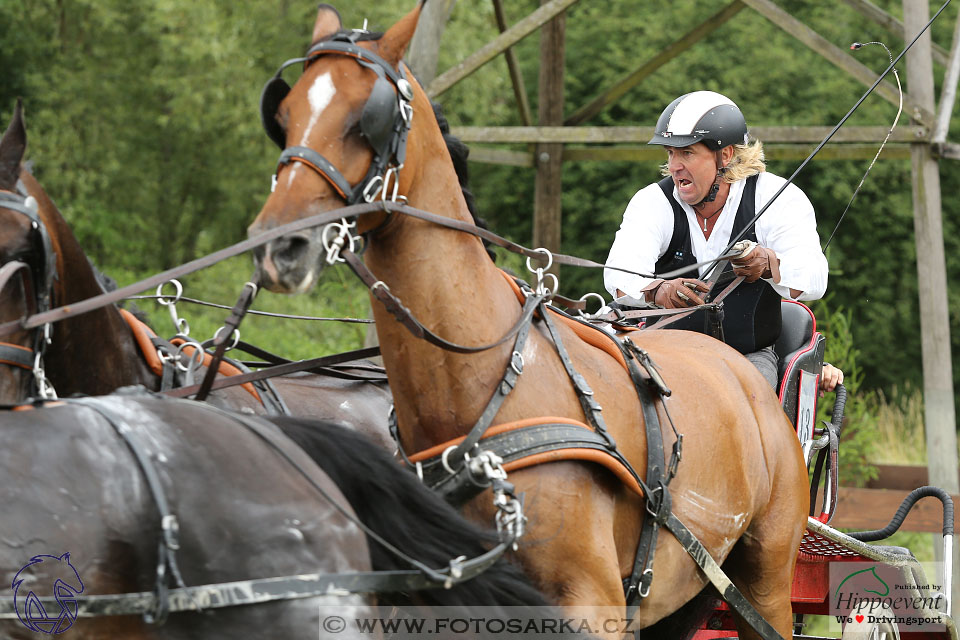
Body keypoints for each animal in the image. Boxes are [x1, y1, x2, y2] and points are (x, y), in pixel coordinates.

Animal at [248, 2, 808, 636]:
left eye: (366, 117)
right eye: (285, 115)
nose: (279, 246)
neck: (483, 387)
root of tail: (741, 373)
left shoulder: (592, 602)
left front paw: (761, 260)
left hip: (764, 581)